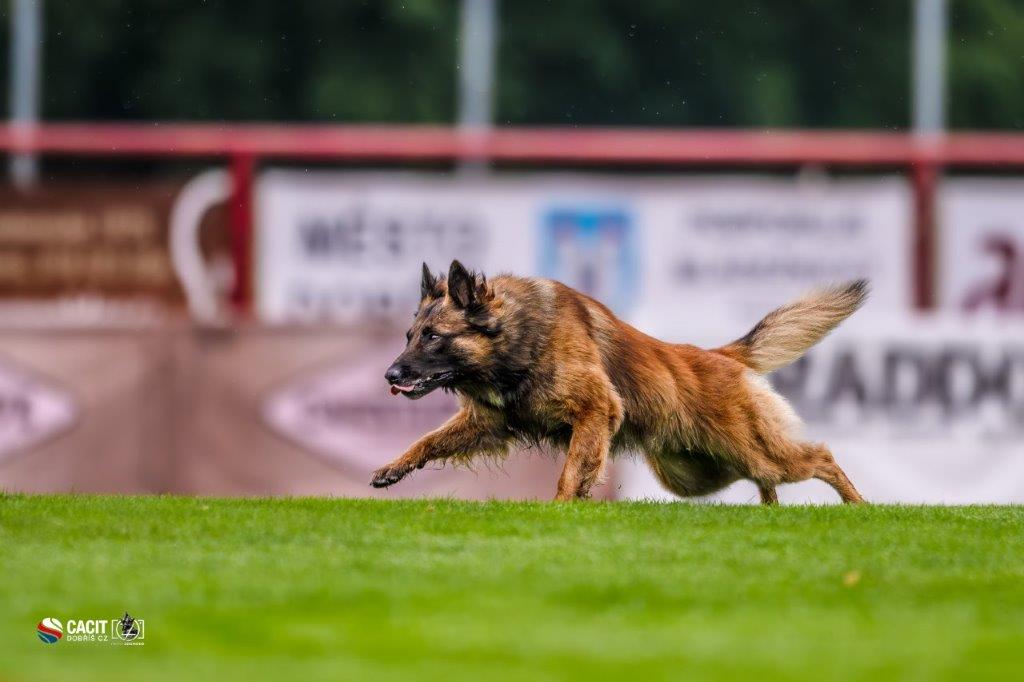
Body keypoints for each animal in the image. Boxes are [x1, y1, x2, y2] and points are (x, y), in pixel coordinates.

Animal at [372, 260, 866, 504]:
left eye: (434, 337)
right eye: (410, 336)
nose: (390, 375)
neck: (519, 338)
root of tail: (722, 356)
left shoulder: (596, 411)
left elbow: (573, 469)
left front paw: (561, 509)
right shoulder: (487, 424)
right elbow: (429, 440)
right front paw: (393, 467)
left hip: (749, 451)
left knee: (819, 457)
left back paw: (858, 509)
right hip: (699, 473)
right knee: (767, 481)